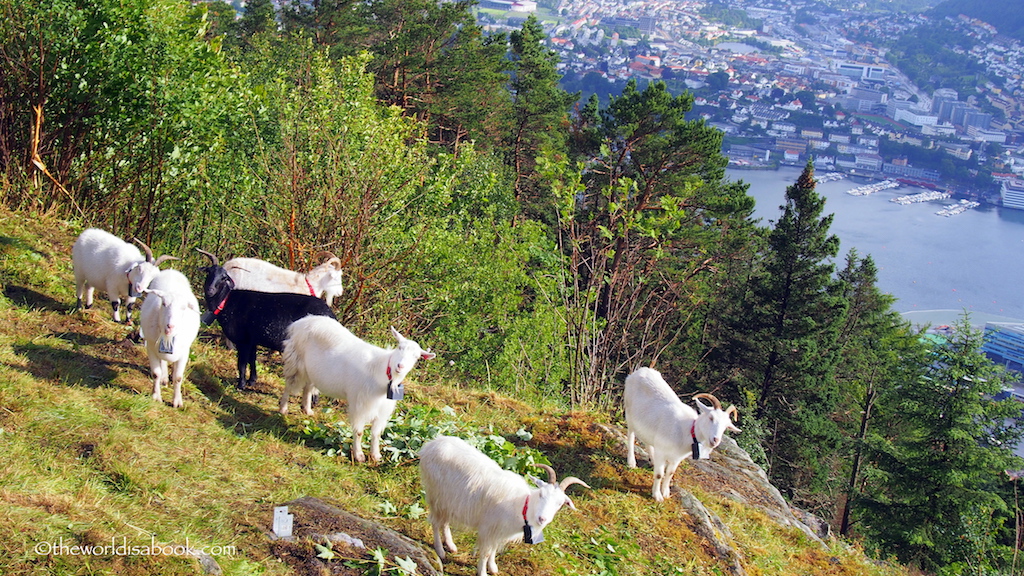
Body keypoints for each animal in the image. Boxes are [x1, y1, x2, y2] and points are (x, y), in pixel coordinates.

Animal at [138, 270, 201, 407]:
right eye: (164, 304)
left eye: (183, 308)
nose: (170, 326)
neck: (168, 337)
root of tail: (171, 270)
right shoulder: (151, 348)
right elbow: (156, 373)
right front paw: (156, 396)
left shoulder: (184, 353)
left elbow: (178, 378)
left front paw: (177, 402)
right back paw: (164, 378)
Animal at [193, 248, 333, 387]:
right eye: (209, 272)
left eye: (223, 278)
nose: (210, 289)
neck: (226, 300)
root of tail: (330, 314)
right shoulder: (252, 340)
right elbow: (252, 360)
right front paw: (252, 381)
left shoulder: (243, 340)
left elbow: (241, 363)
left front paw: (241, 384)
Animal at [278, 313, 434, 461]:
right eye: (399, 347)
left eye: (416, 357)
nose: (400, 366)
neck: (381, 372)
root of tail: (302, 321)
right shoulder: (360, 404)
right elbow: (359, 432)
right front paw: (359, 455)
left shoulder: (382, 409)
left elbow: (376, 434)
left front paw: (376, 455)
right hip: (295, 362)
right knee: (288, 385)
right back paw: (283, 408)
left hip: (312, 370)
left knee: (308, 387)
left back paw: (307, 409)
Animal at [417, 434, 593, 573]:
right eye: (541, 494)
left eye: (560, 504)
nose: (542, 519)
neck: (522, 506)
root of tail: (431, 445)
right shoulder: (488, 528)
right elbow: (485, 553)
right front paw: (483, 572)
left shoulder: (499, 531)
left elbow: (494, 550)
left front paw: (493, 568)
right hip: (436, 494)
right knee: (435, 522)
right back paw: (440, 551)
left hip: (450, 500)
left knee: (445, 522)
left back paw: (451, 545)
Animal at [618, 366, 741, 498]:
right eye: (711, 417)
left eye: (726, 426)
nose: (715, 440)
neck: (686, 430)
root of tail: (641, 370)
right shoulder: (661, 451)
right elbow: (659, 474)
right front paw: (657, 496)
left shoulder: (677, 458)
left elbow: (670, 473)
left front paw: (666, 493)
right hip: (629, 412)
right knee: (631, 435)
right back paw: (631, 462)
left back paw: (652, 460)